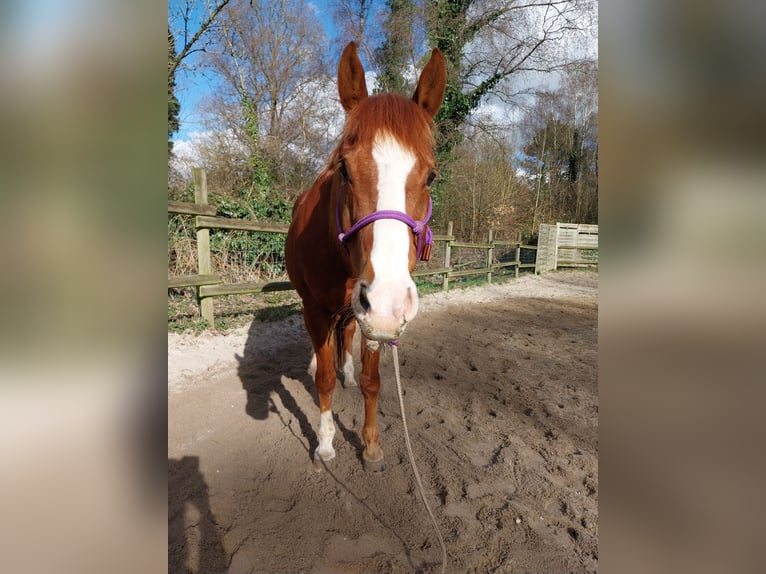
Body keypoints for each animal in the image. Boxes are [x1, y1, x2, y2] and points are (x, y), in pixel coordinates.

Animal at [285, 42, 446, 471]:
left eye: (431, 176)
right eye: (344, 169)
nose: (387, 300)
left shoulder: (375, 320)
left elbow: (373, 380)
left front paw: (371, 445)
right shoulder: (318, 311)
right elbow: (323, 380)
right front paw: (325, 444)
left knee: (347, 332)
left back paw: (347, 371)